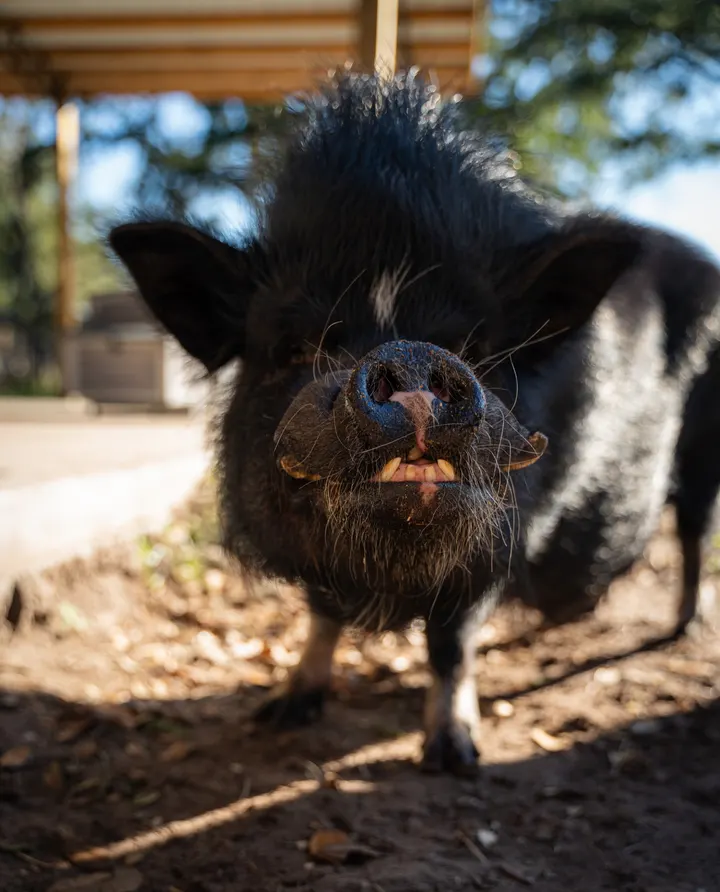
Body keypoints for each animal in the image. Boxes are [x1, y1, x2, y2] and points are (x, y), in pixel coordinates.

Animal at [110, 72, 720, 774]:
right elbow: (320, 611)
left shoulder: (496, 541)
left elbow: (451, 642)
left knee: (694, 533)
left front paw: (454, 756)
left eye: (472, 347)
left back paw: (683, 629)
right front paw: (281, 713)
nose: (409, 358)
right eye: (293, 345)